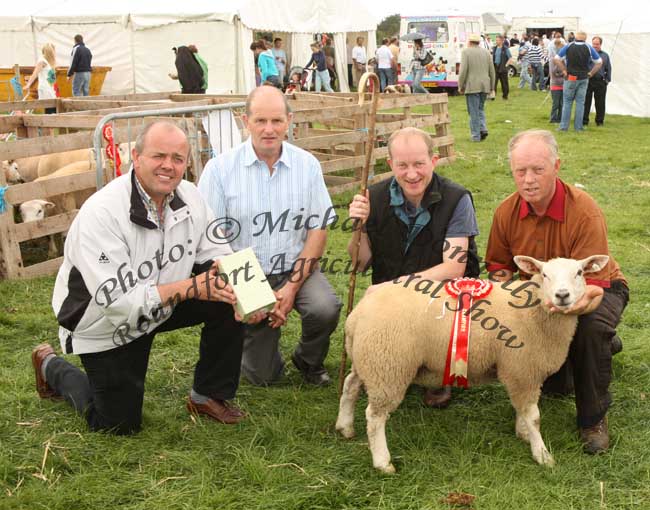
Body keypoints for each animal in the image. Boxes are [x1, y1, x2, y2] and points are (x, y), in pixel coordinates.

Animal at [334, 255, 608, 474]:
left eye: (579, 272)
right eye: (544, 274)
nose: (562, 296)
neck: (535, 310)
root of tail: (356, 315)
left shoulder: (522, 373)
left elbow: (523, 410)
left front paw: (522, 434)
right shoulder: (522, 369)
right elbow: (534, 417)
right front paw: (541, 454)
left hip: (366, 360)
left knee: (350, 386)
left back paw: (344, 426)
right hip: (388, 366)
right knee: (375, 416)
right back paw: (383, 462)